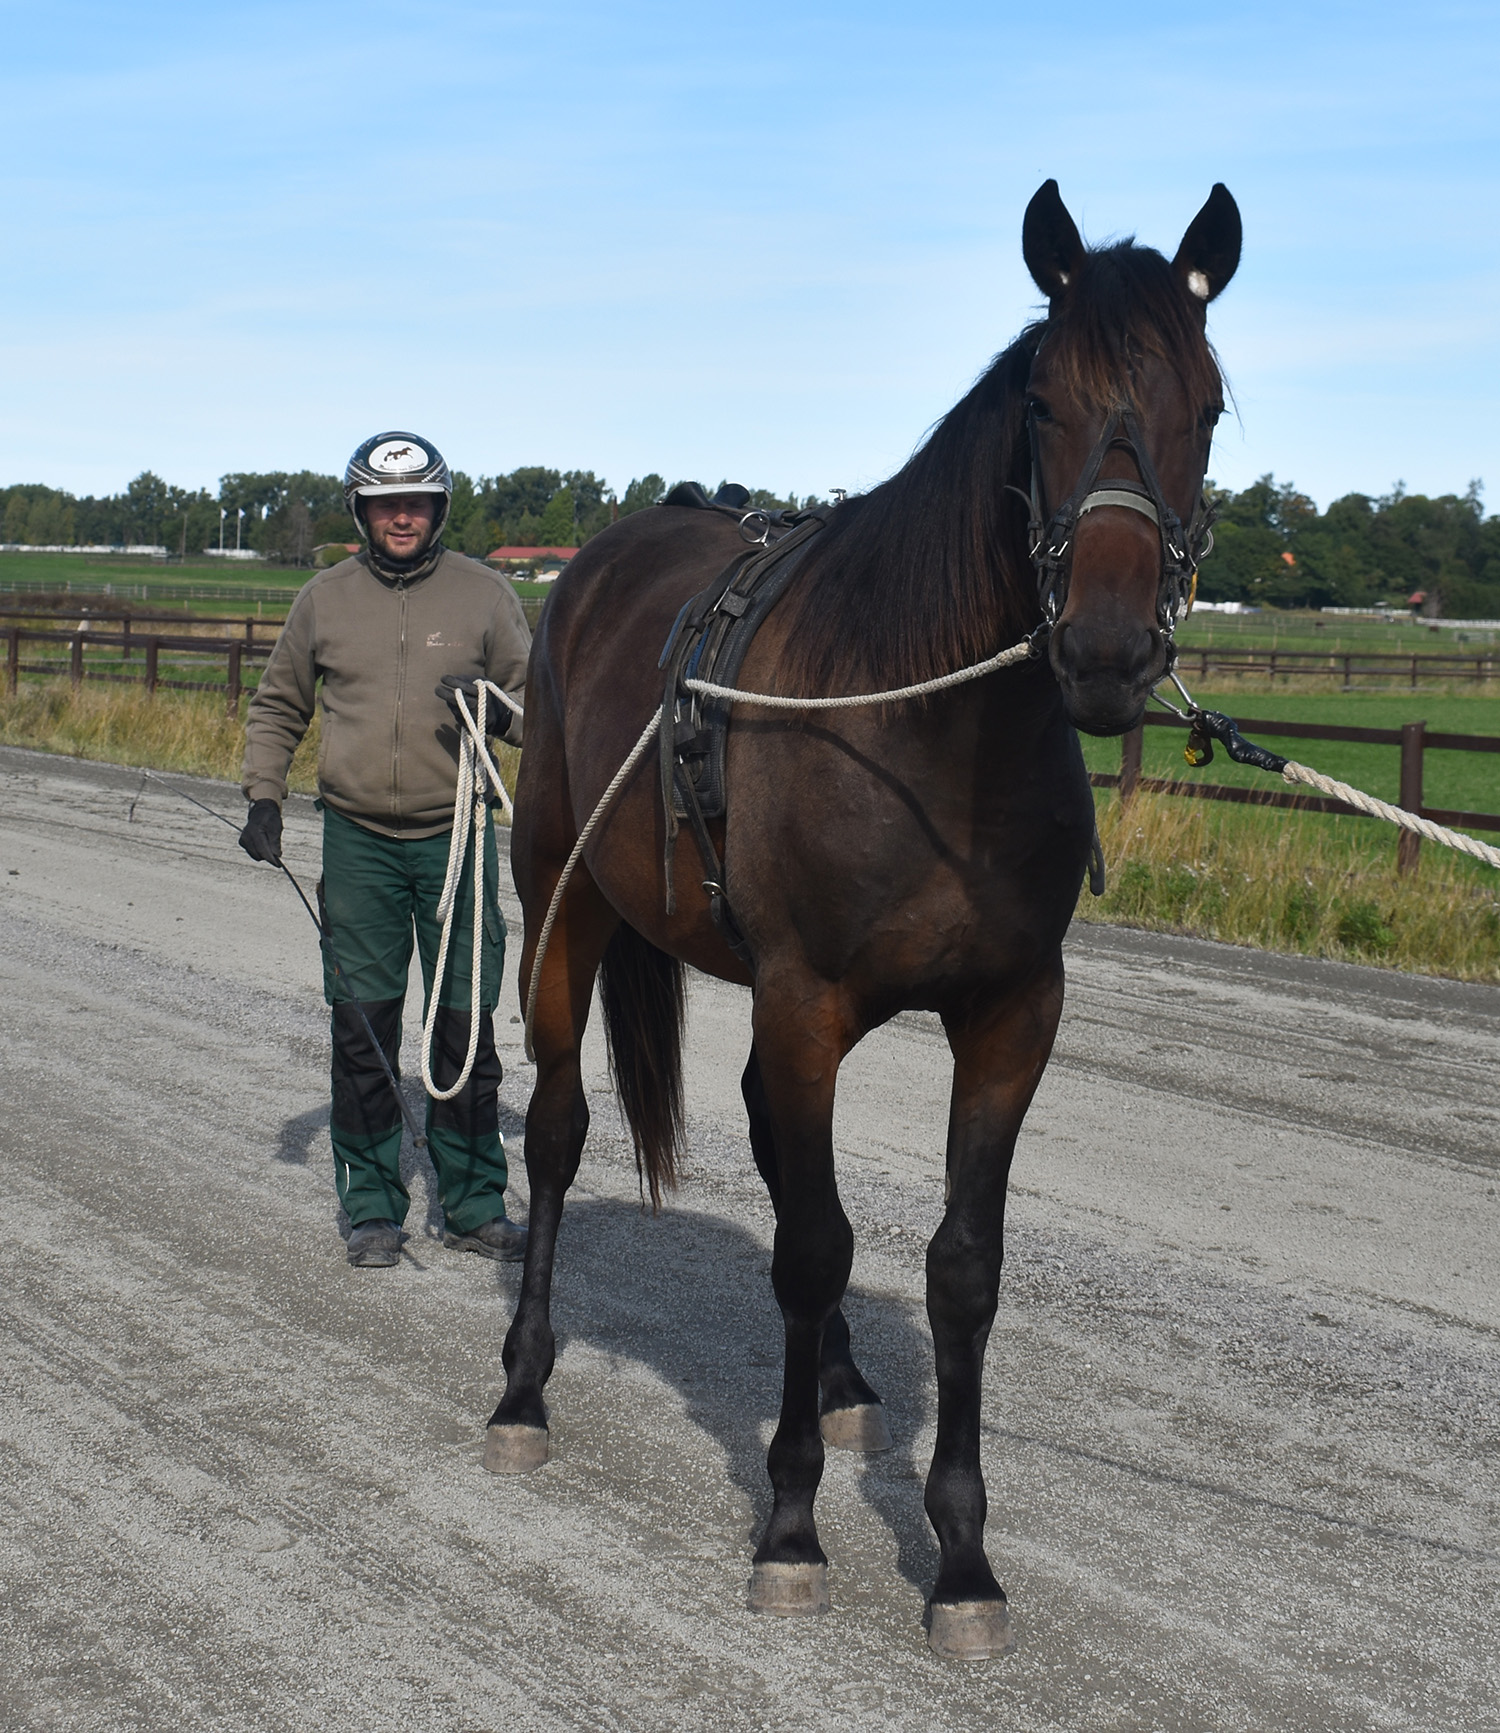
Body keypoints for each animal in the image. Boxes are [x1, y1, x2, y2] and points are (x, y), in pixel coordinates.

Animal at [484, 179, 1233, 1663]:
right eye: (1044, 401)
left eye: (1211, 404)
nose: (1106, 647)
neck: (931, 738)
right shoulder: (806, 999)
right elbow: (813, 1243)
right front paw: (788, 1524)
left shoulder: (1011, 1013)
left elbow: (961, 1266)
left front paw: (962, 1552)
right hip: (566, 900)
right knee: (555, 1130)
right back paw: (526, 1386)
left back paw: (833, 1379)